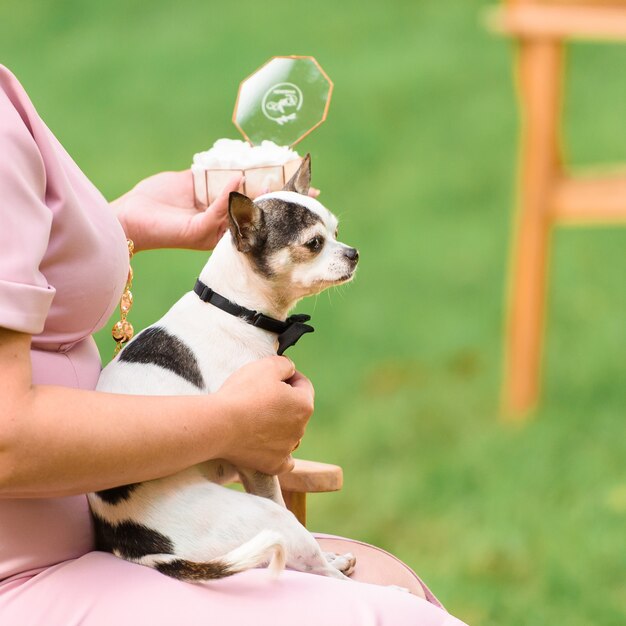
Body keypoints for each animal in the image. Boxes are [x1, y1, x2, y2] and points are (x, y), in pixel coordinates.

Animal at [89, 156, 358, 580]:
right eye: (315, 243)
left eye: (337, 232)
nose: (354, 253)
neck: (235, 310)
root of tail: (140, 547)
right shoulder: (257, 459)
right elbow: (280, 498)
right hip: (262, 518)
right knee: (312, 563)